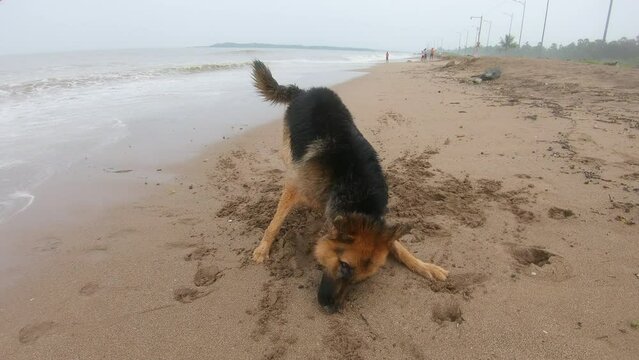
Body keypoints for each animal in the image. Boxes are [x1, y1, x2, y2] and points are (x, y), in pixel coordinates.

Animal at [251, 61, 450, 312]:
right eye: (344, 265)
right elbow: (275, 223)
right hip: (289, 148)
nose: (331, 309)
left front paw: (425, 266)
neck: (355, 189)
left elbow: (400, 248)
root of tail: (306, 91)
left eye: (361, 279)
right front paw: (263, 248)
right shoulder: (295, 189)